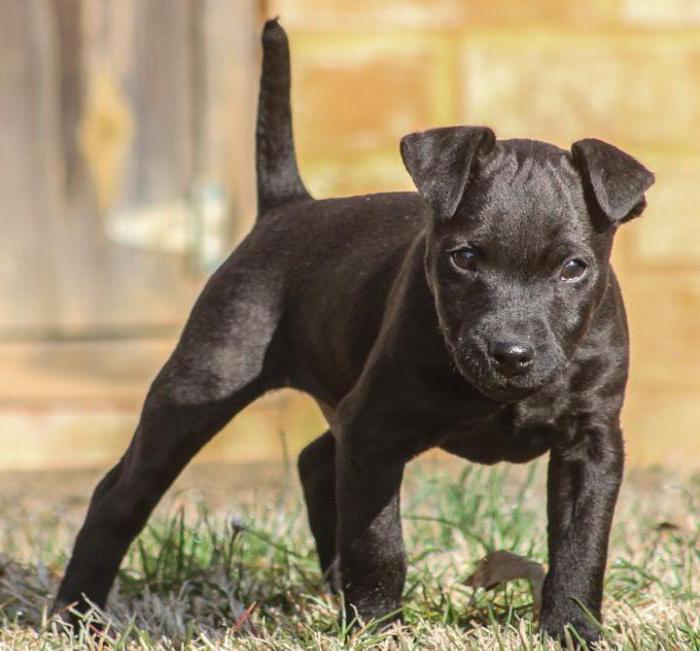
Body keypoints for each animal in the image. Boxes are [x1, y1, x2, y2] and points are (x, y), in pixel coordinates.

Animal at [53, 19, 652, 640]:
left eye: (574, 267)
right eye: (464, 257)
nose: (510, 352)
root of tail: (288, 206)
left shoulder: (591, 444)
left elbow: (581, 546)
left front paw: (573, 628)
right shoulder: (374, 432)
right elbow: (379, 543)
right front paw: (377, 624)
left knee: (315, 460)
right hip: (199, 385)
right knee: (120, 495)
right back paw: (76, 612)